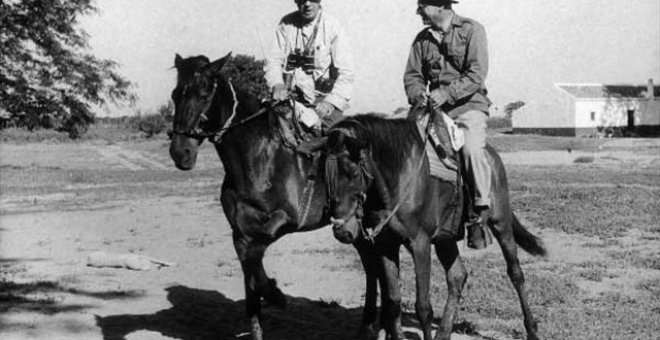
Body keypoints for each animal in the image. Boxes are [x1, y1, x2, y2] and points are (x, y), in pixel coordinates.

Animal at [166, 54, 382, 340]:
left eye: (203, 95)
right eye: (175, 94)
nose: (180, 153)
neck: (258, 160)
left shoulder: (286, 220)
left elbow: (256, 253)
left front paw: (275, 294)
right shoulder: (238, 232)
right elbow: (250, 281)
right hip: (353, 228)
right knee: (371, 264)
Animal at [324, 115, 548, 340]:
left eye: (353, 172)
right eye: (325, 173)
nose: (342, 230)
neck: (400, 178)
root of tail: (493, 157)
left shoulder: (420, 244)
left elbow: (423, 307)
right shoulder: (387, 245)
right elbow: (393, 301)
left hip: (501, 223)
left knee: (516, 274)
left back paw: (532, 329)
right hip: (445, 239)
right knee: (457, 276)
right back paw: (444, 332)